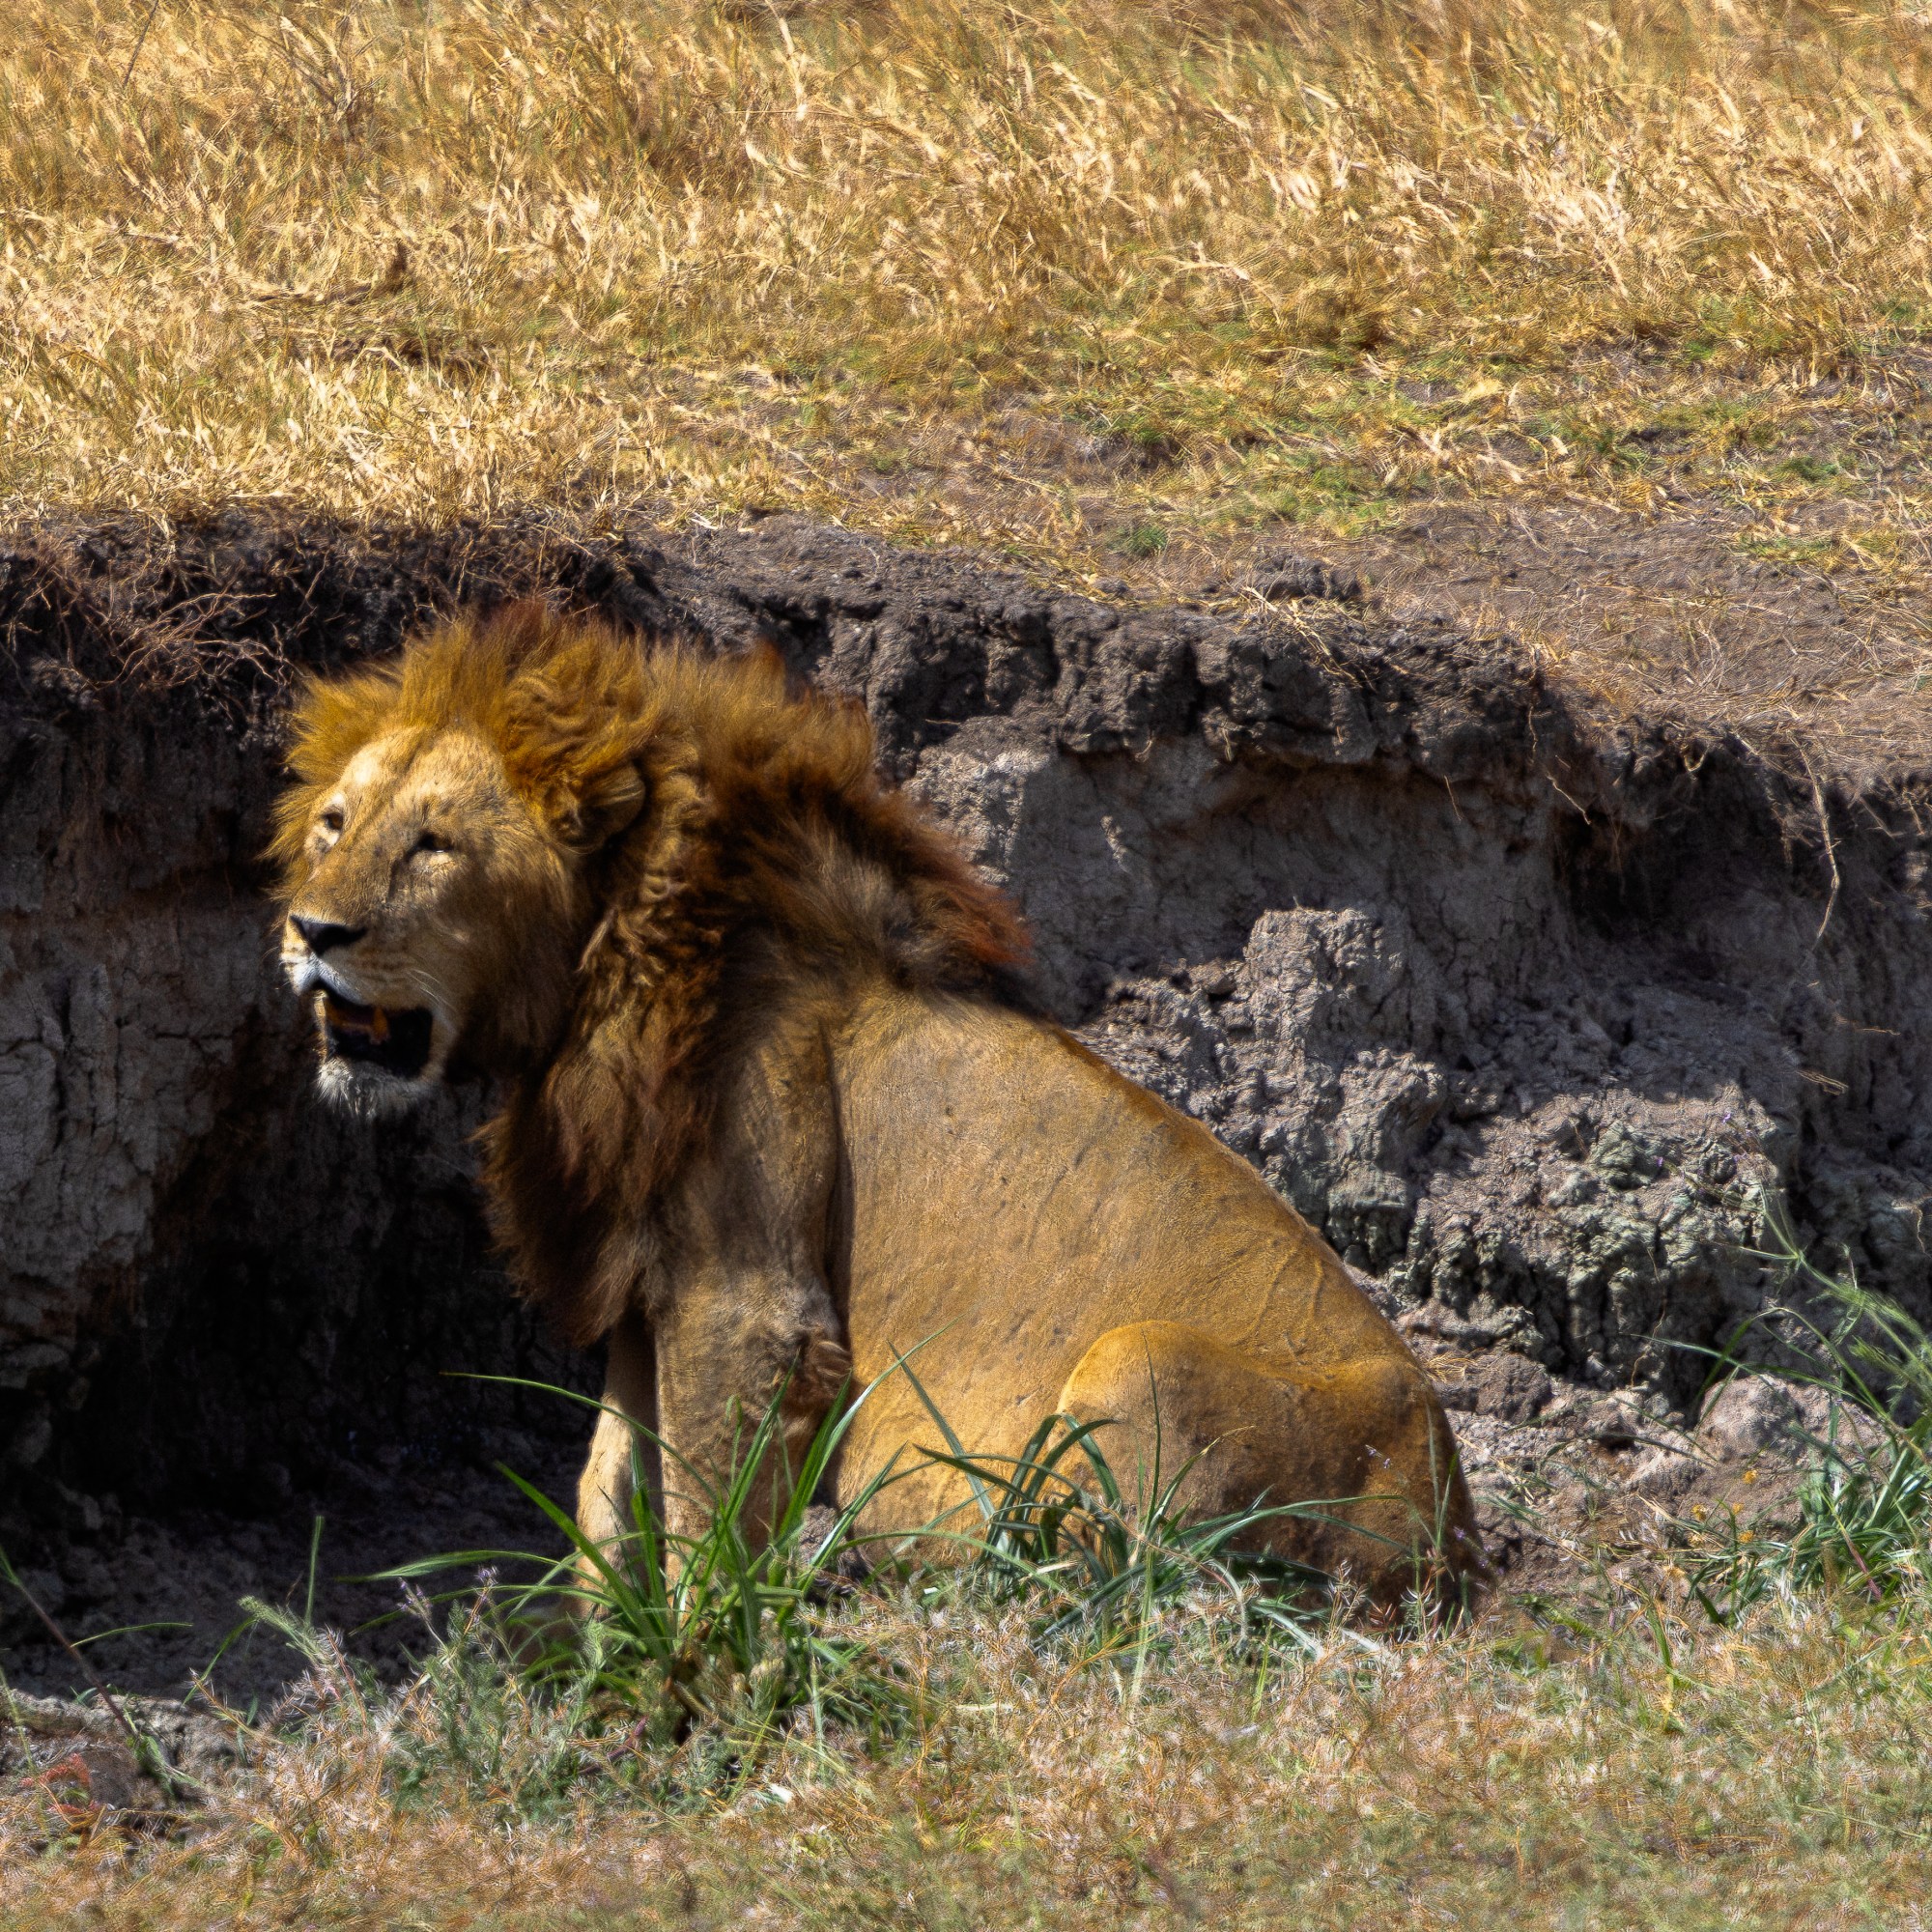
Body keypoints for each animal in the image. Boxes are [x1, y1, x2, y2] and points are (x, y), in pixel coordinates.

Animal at [272, 602, 1482, 1600]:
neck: (618, 953)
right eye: (335, 823)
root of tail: (1453, 1542)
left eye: (433, 845)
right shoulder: (644, 1283)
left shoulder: (749, 1300)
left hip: (1147, 1361)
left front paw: (704, 1678)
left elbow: (705, 1521)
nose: (310, 929)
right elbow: (606, 1499)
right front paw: (606, 1669)